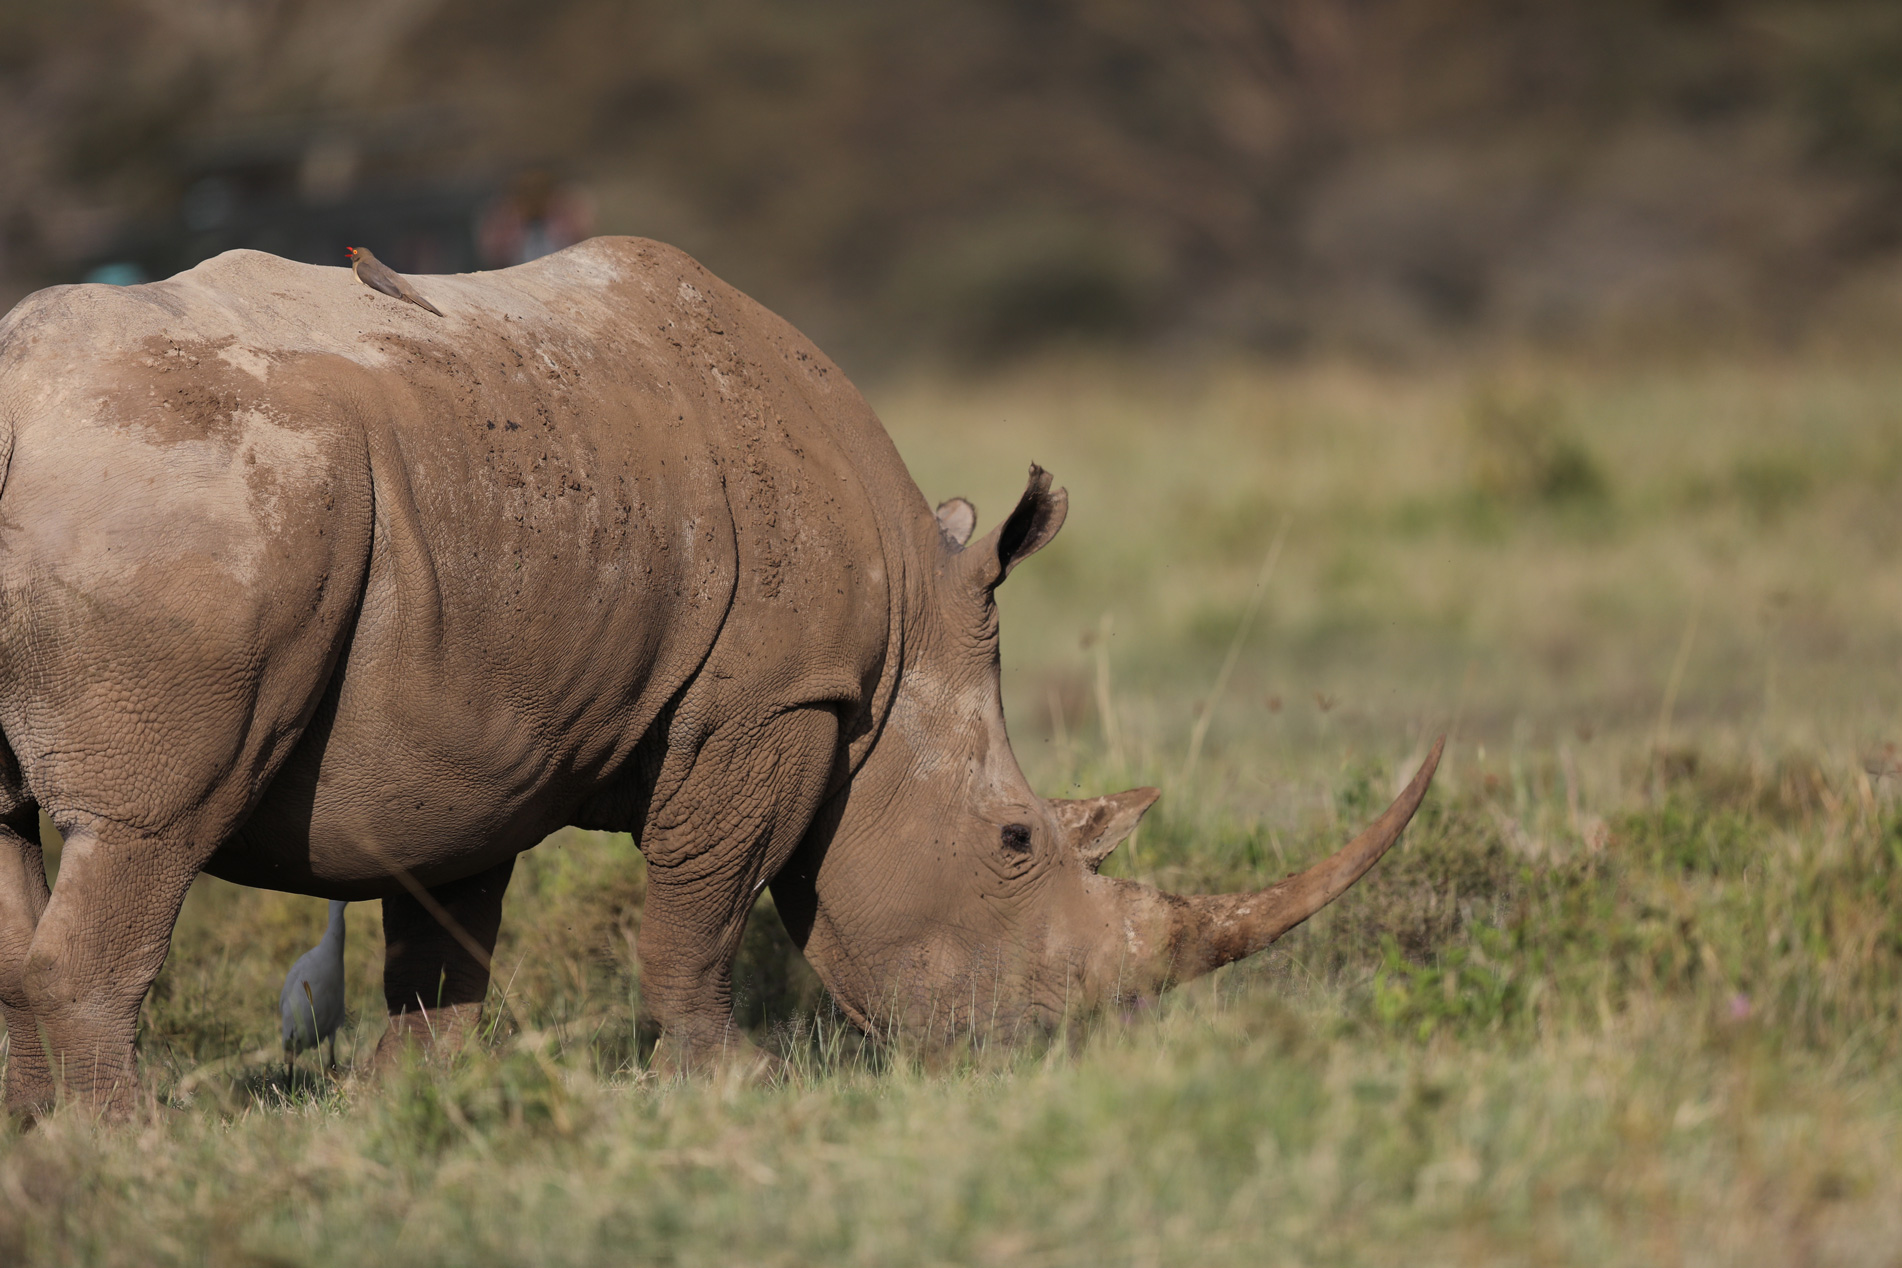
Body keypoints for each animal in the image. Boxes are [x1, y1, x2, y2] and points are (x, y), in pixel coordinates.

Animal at [0, 238, 1440, 1117]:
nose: (1073, 1051)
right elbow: (701, 904)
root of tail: (28, 397)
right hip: (191, 493)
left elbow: (446, 921)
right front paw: (733, 1081)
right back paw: (127, 1143)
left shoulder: (479, 705)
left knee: (19, 828)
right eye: (1017, 842)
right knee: (148, 827)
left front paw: (423, 1100)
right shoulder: (772, 698)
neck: (909, 639)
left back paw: (41, 1140)